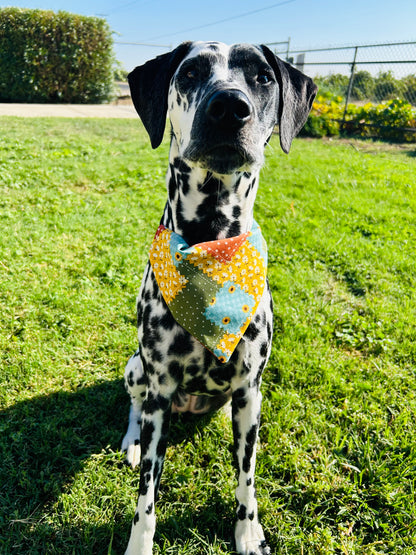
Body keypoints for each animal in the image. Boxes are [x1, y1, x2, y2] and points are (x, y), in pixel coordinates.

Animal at [122, 40, 316, 555]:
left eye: (262, 76)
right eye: (190, 73)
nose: (229, 107)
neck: (211, 246)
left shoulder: (249, 393)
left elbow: (246, 479)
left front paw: (248, 532)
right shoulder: (159, 388)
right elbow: (146, 495)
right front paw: (139, 543)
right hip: (135, 370)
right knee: (133, 407)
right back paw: (130, 441)